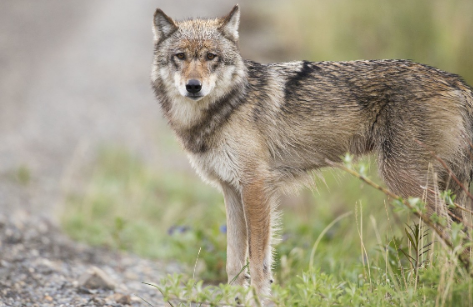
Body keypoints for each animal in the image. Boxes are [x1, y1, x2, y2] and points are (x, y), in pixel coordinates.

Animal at [150, 4, 472, 304]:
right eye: (180, 56)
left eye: (211, 57)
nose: (193, 87)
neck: (225, 108)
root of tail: (456, 82)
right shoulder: (231, 190)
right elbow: (233, 264)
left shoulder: (256, 188)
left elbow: (258, 263)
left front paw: (259, 300)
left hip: (408, 183)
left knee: (453, 237)